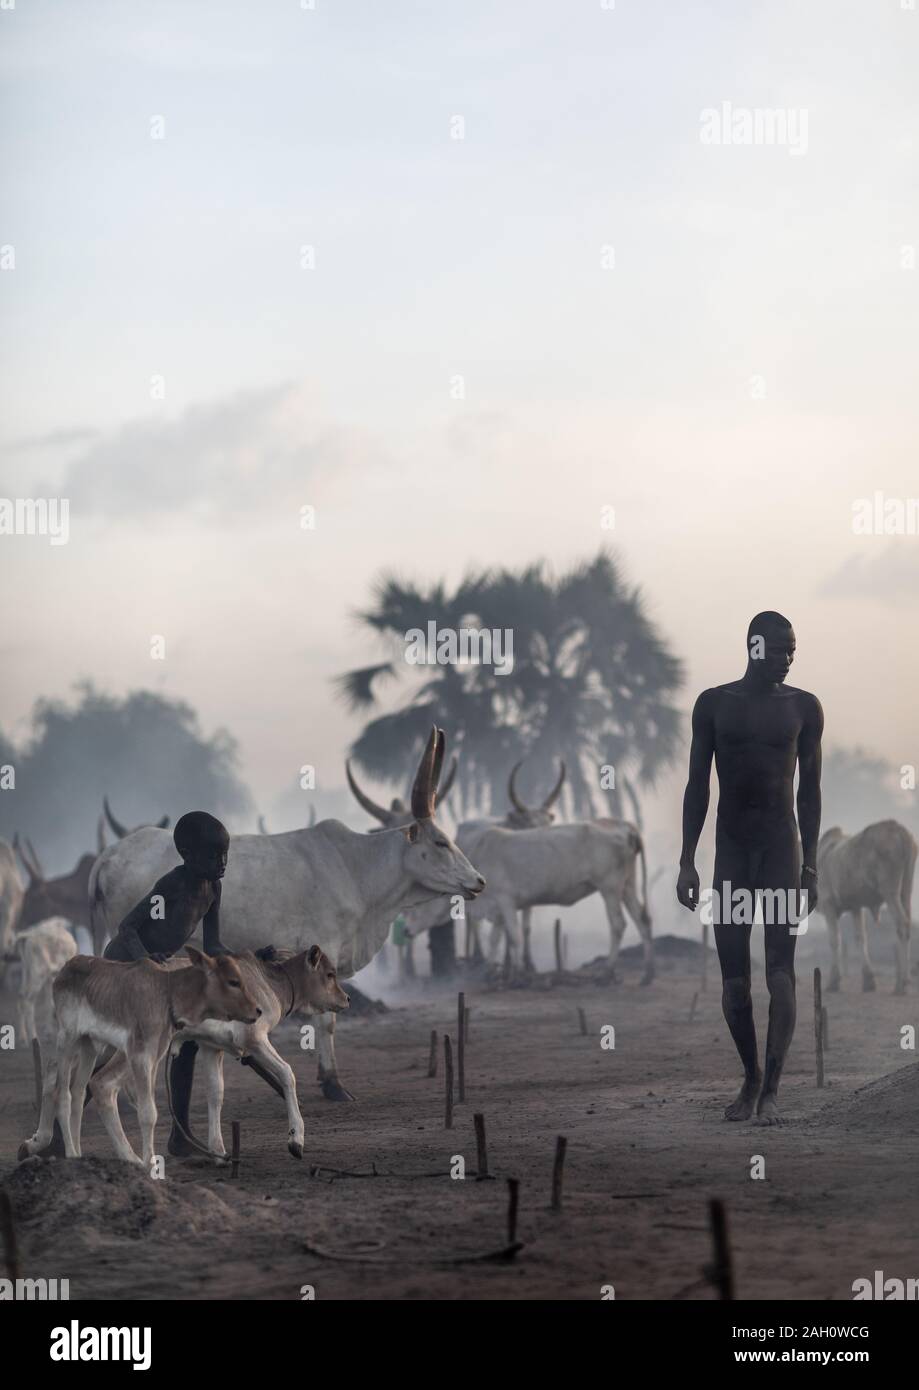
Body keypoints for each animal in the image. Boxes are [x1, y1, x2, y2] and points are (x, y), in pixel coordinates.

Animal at [89, 728, 483, 1095]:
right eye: (440, 842)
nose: (478, 881)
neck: (354, 867)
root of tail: (108, 856)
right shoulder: (323, 948)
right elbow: (326, 1020)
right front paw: (333, 1084)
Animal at [817, 817, 912, 995]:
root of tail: (898, 830)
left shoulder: (828, 905)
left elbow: (834, 940)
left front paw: (833, 982)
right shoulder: (856, 907)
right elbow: (861, 938)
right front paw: (868, 981)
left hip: (890, 893)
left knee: (902, 925)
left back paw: (902, 984)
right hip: (906, 891)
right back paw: (903, 981)